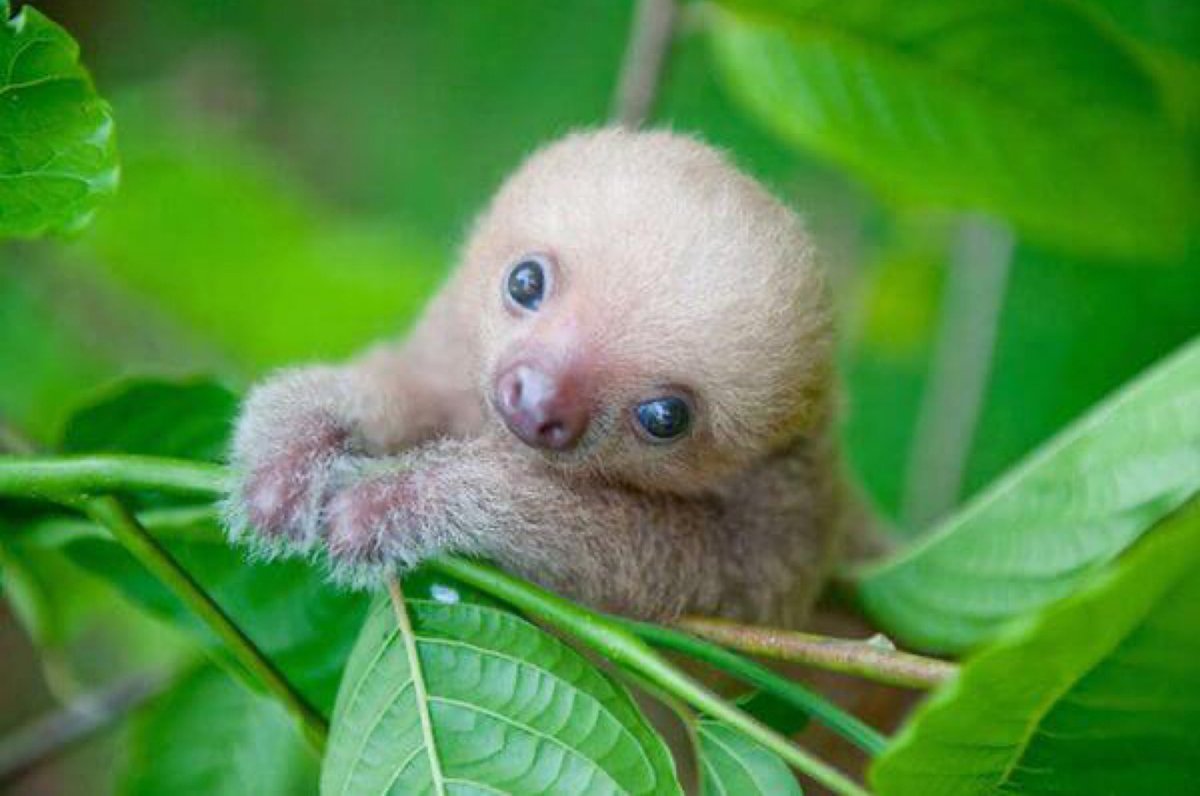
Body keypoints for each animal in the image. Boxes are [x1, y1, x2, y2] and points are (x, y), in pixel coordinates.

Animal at [223, 127, 855, 629]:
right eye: (525, 282)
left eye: (664, 417)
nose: (538, 401)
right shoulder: (451, 353)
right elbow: (409, 382)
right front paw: (296, 442)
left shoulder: (790, 520)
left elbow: (702, 563)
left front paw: (401, 498)